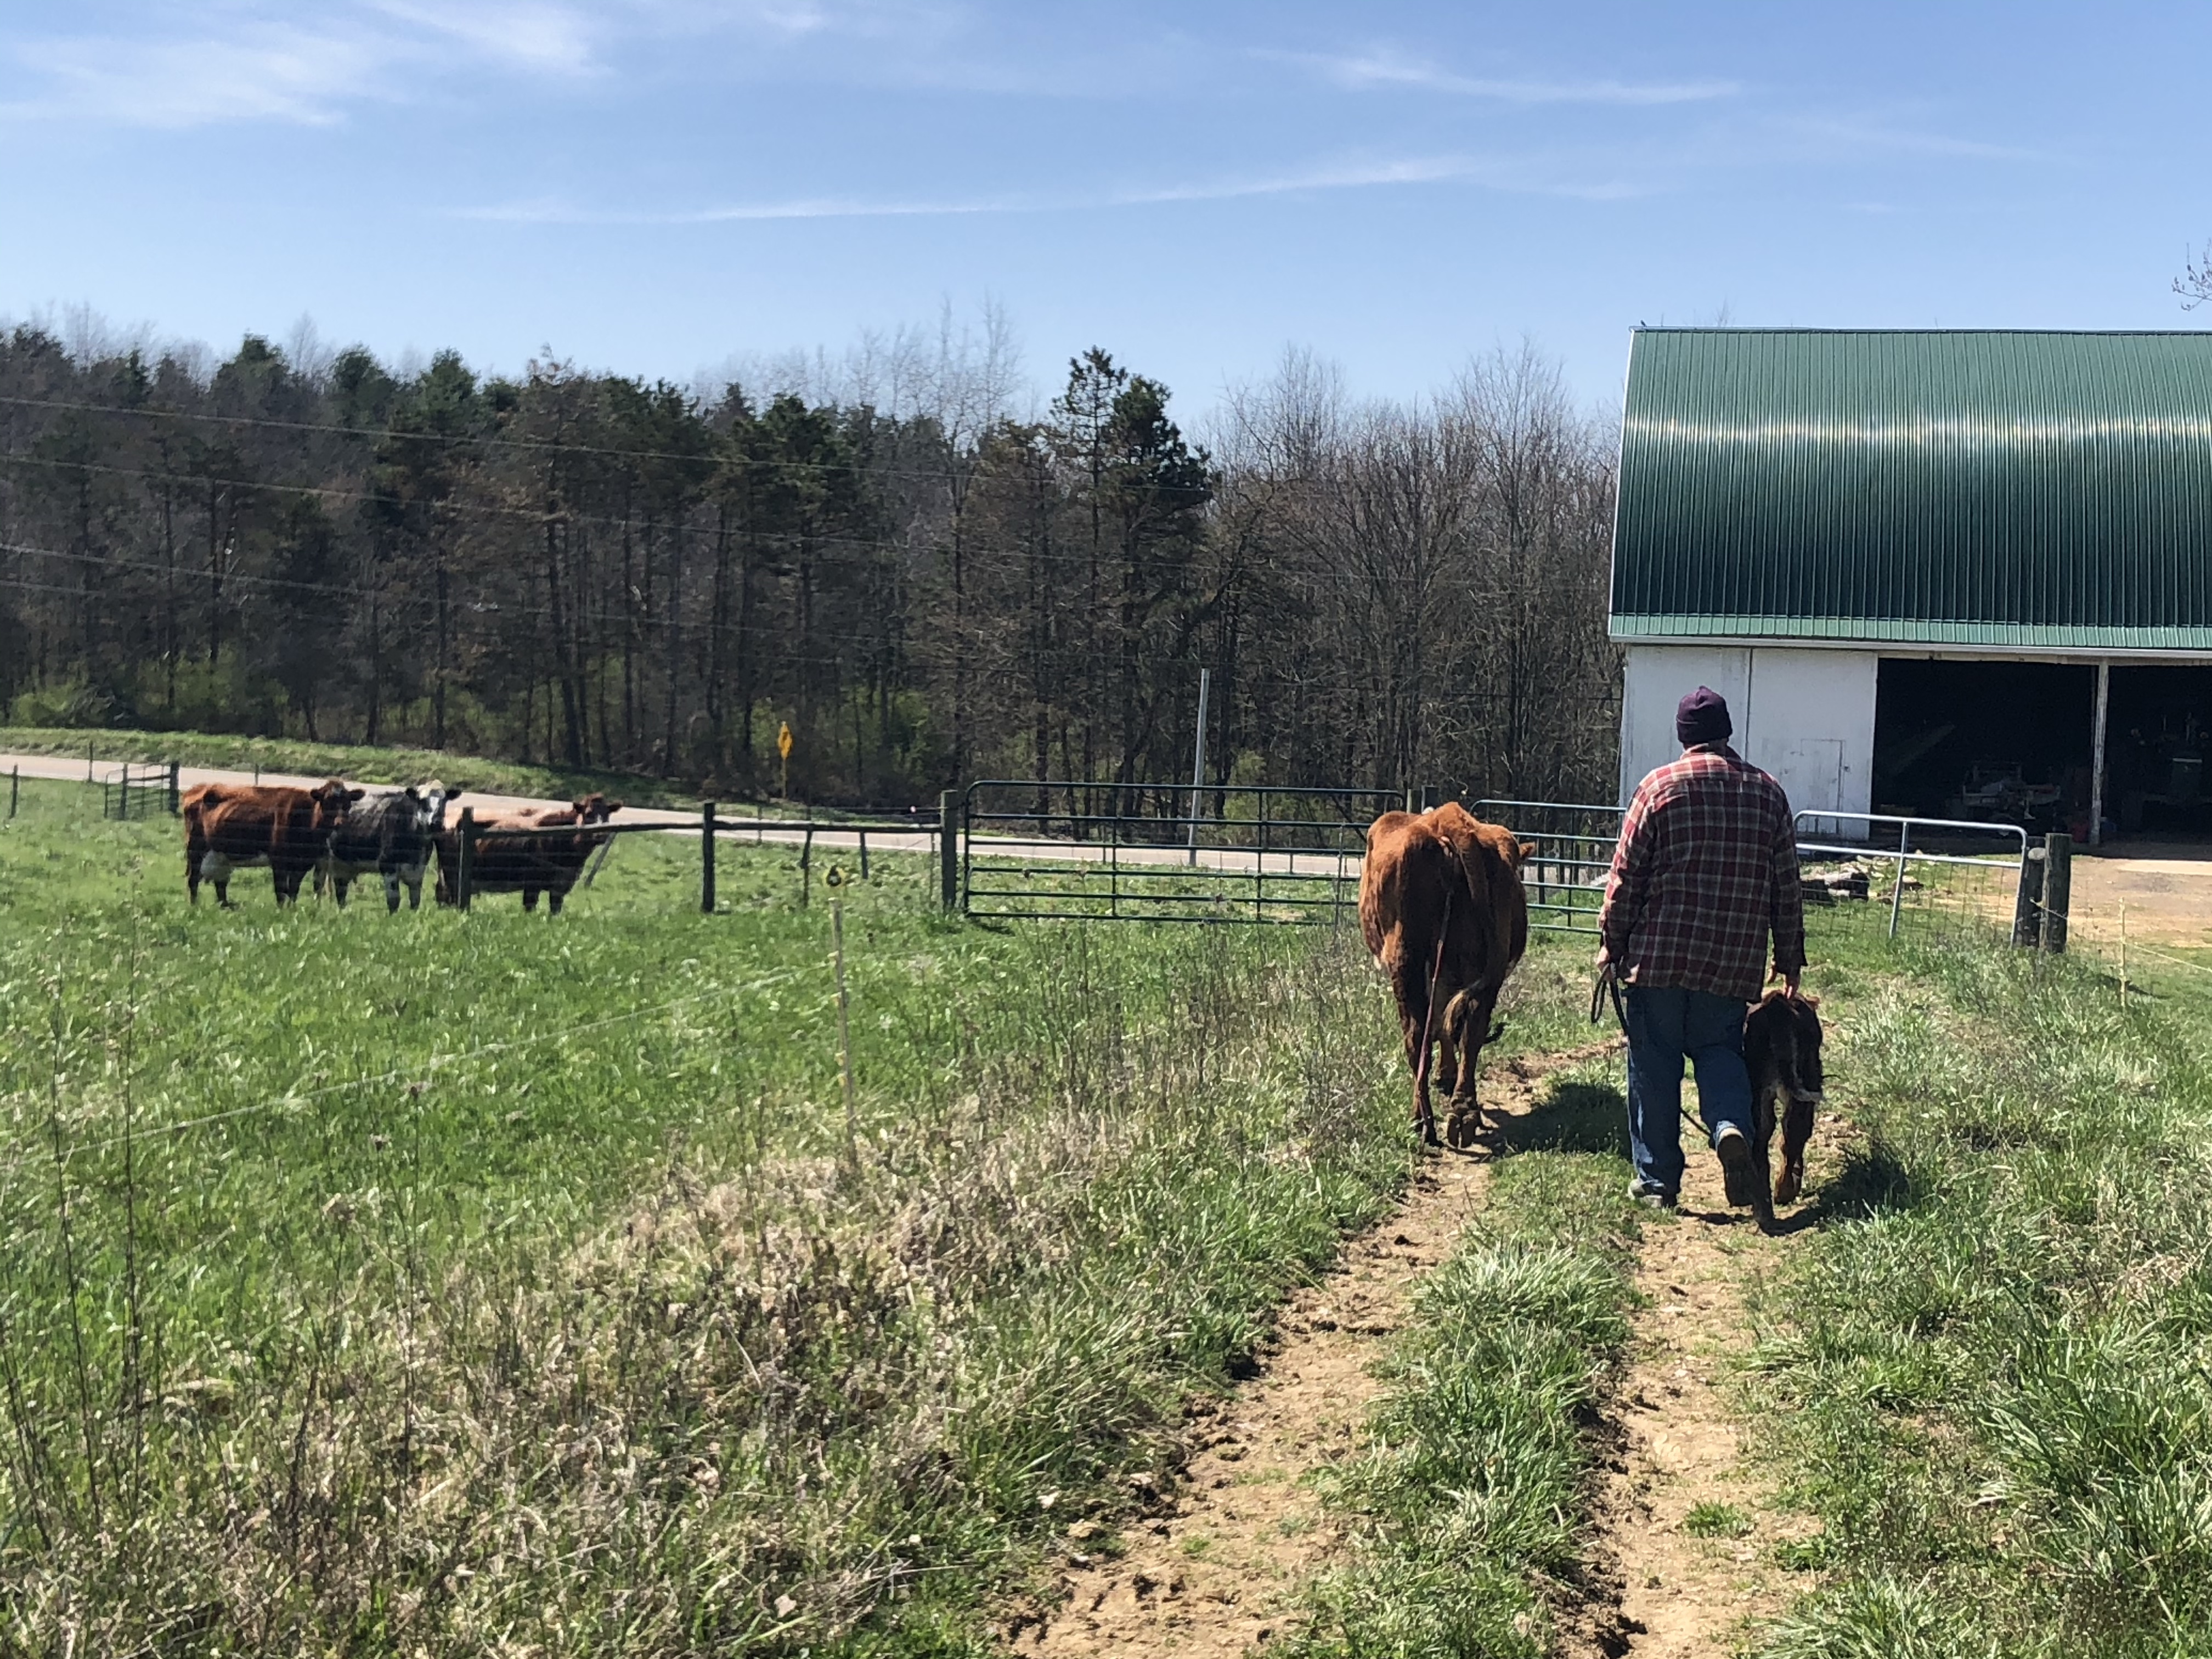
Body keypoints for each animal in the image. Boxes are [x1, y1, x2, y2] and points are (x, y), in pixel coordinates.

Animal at [182, 780, 363, 907]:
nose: (340, 823)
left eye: (347, 803)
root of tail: (198, 788)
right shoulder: (279, 861)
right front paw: (282, 911)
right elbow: (281, 891)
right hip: (196, 848)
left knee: (220, 884)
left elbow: (294, 891)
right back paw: (194, 906)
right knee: (193, 880)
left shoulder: (303, 864)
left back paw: (224, 907)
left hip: (220, 855)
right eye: (327, 802)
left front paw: (292, 910)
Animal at [316, 783, 462, 912]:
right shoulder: (388, 866)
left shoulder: (418, 871)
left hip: (344, 865)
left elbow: (415, 901)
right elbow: (394, 901)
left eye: (445, 801)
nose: (436, 823)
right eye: (421, 801)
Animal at [434, 794, 622, 914]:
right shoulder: (533, 883)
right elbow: (530, 907)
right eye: (589, 814)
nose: (601, 834)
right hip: (453, 874)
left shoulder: (560, 885)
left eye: (607, 815)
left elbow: (555, 910)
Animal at [1359, 802, 1534, 1147]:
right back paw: (1463, 1113)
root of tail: (1451, 820)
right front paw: (1448, 1075)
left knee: (1416, 1036)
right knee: (1472, 1029)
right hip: (1485, 965)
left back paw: (1422, 1121)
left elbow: (1436, 1027)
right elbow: (1447, 1025)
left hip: (1406, 959)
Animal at [1743, 989, 1825, 1226]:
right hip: (1803, 1083)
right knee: (1791, 1135)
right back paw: (1783, 1192)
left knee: (1762, 1140)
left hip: (1759, 1091)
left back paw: (1763, 1208)